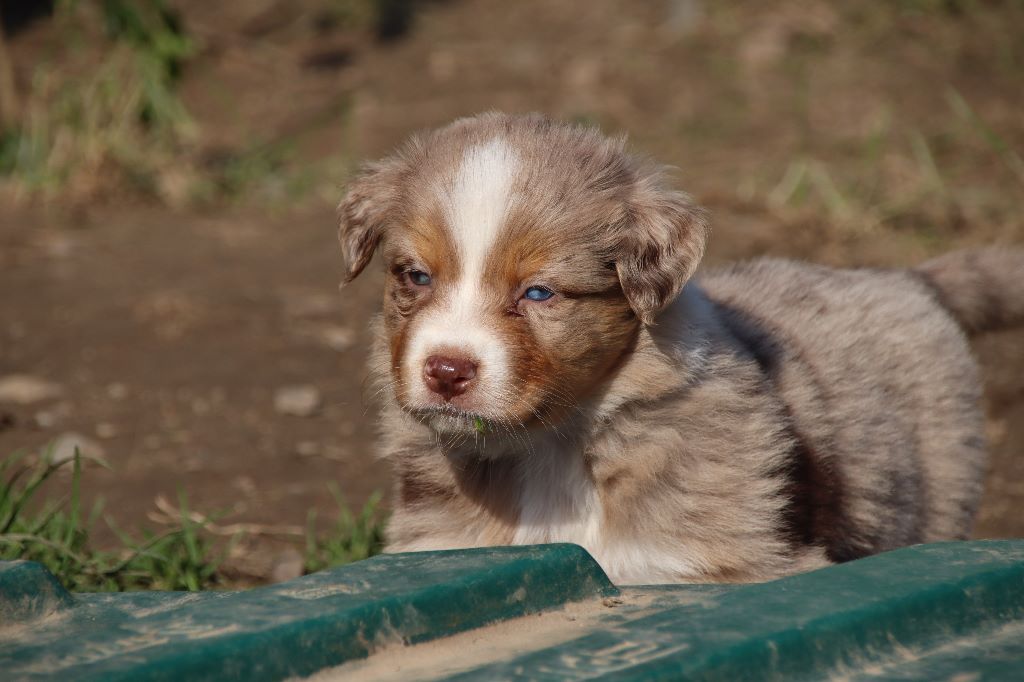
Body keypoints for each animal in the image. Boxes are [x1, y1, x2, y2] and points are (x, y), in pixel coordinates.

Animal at [335, 112, 1024, 585]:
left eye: (539, 292)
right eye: (416, 277)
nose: (446, 370)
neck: (552, 446)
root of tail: (904, 277)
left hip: (934, 493)